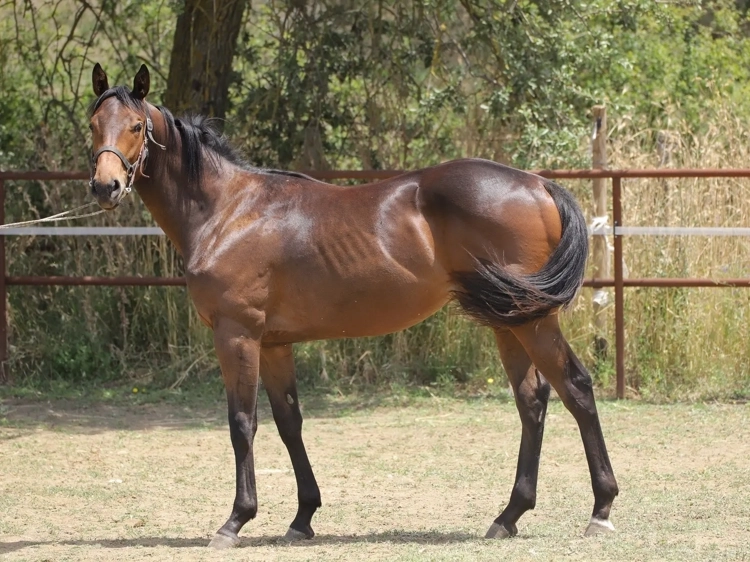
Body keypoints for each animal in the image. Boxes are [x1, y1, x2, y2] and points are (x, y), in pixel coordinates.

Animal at [88, 63, 618, 548]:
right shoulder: (274, 344)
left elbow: (242, 423)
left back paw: (601, 510)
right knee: (532, 401)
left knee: (575, 388)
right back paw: (509, 515)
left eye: (136, 126)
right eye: (93, 123)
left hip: (533, 322)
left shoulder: (236, 335)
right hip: (507, 321)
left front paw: (236, 520)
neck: (229, 212)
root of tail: (537, 184)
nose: (104, 186)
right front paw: (302, 517)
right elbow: (289, 423)